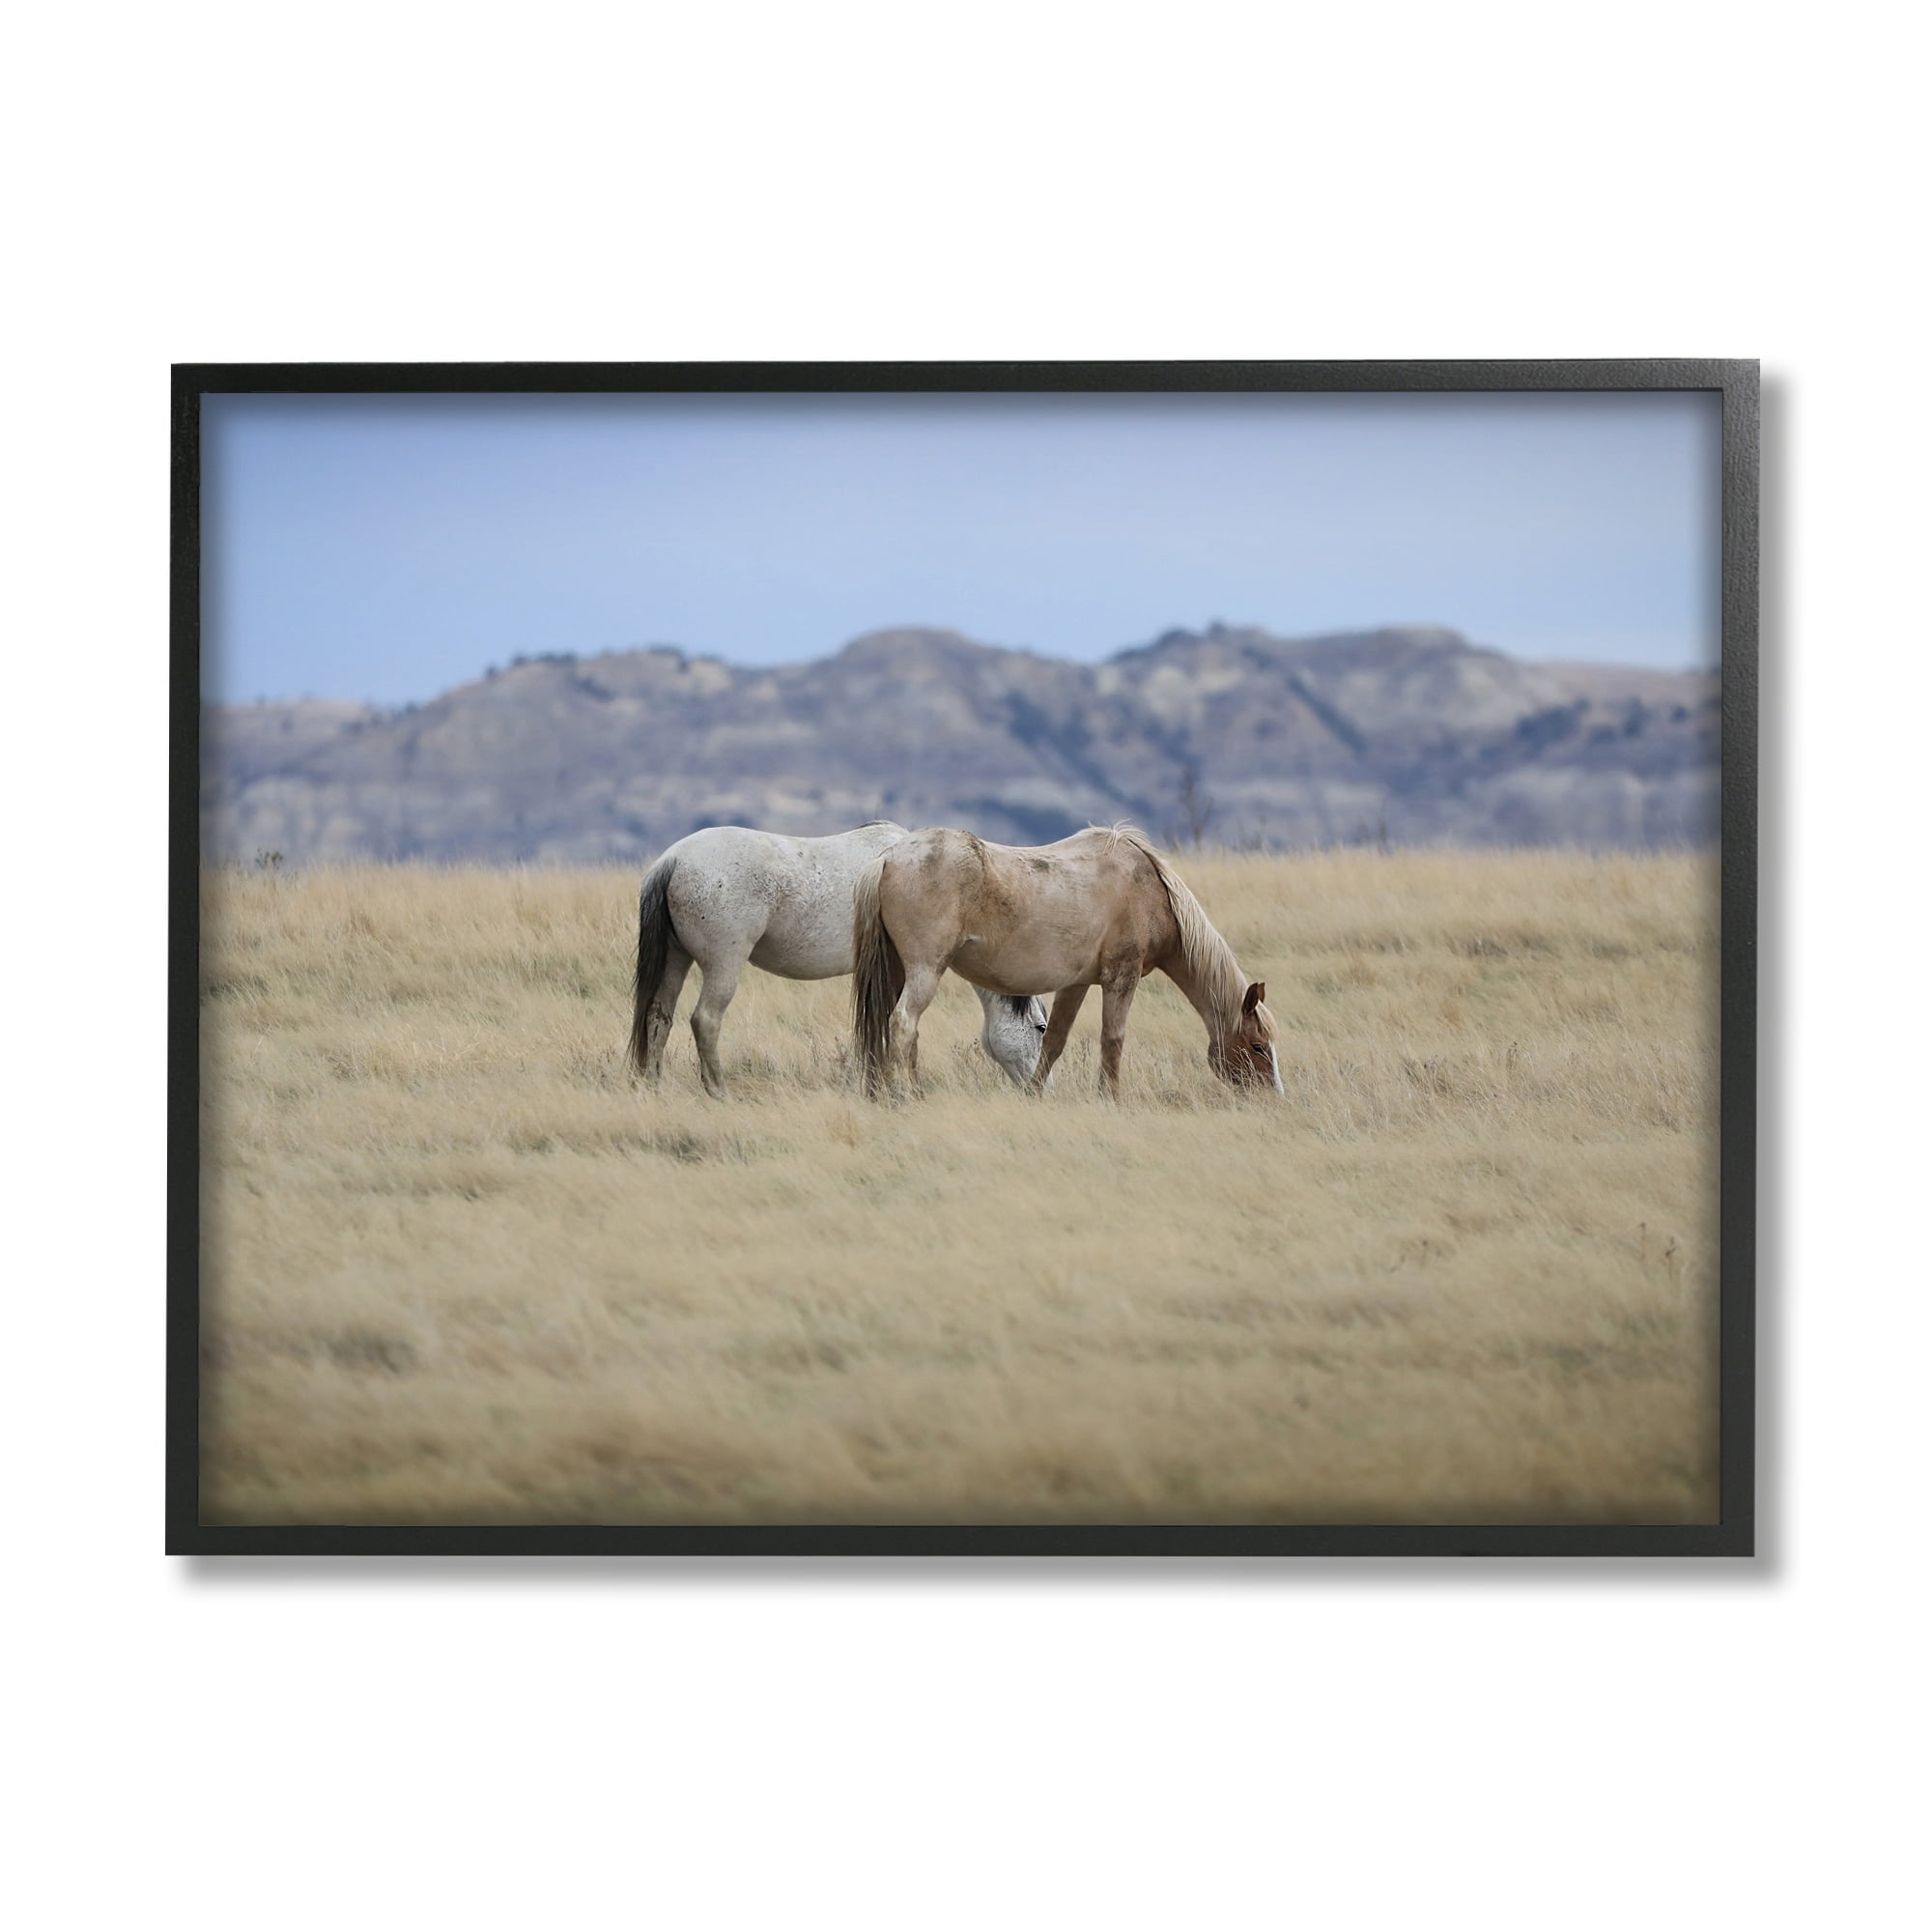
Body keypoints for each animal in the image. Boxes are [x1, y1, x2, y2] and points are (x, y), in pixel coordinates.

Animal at [629, 821, 1049, 1099]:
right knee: (705, 1020)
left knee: (658, 1016)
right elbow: (898, 1027)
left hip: (676, 960)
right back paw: (718, 1090)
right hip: (724, 964)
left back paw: (653, 1085)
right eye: (1041, 1028)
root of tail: (673, 860)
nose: (1040, 1088)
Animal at [853, 824, 1282, 1101]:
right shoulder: (1121, 978)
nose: (1274, 1097)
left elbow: (1054, 1041)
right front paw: (1111, 1098)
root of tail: (887, 859)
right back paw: (909, 1094)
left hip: (895, 973)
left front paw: (1034, 1095)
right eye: (1259, 1047)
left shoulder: (1075, 984)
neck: (1150, 891)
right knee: (904, 1024)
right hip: (925, 971)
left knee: (883, 1025)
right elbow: (1113, 1039)